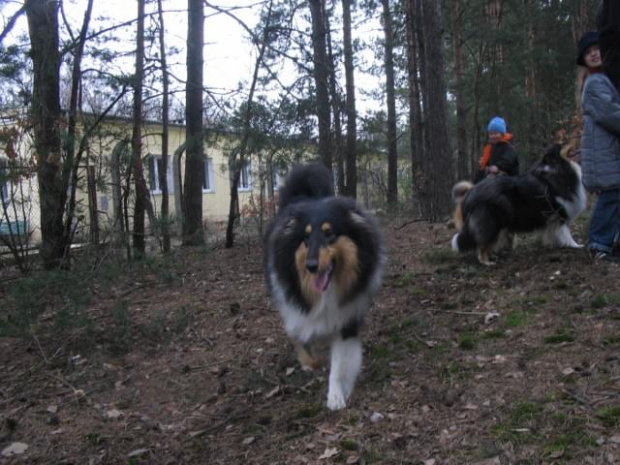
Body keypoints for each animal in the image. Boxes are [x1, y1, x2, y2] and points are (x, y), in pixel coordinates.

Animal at [266, 163, 386, 410]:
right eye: (305, 237)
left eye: (329, 233)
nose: (311, 266)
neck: (326, 292)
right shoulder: (296, 314)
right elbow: (305, 345)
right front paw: (312, 361)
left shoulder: (347, 319)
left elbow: (339, 364)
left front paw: (336, 396)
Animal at [450, 143, 588, 264]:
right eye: (562, 145)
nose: (576, 144)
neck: (557, 168)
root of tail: (469, 194)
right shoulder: (558, 212)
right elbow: (566, 232)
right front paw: (576, 245)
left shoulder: (550, 218)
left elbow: (551, 232)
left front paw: (553, 245)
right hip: (490, 221)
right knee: (483, 243)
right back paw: (487, 262)